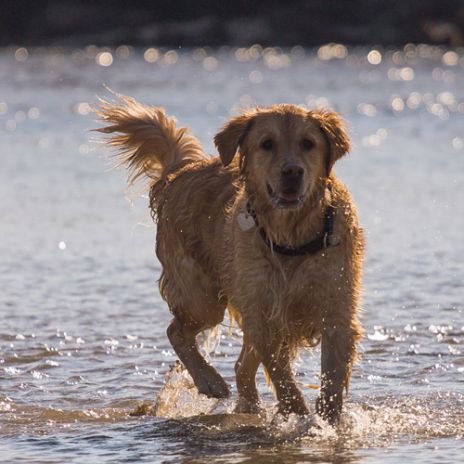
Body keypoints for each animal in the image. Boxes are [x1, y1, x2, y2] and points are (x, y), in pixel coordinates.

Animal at [96, 97, 364, 424]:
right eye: (267, 144)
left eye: (308, 143)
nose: (292, 171)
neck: (291, 238)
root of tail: (180, 172)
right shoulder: (263, 313)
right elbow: (282, 374)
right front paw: (298, 414)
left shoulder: (336, 309)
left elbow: (333, 378)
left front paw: (327, 420)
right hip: (203, 298)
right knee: (176, 331)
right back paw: (210, 381)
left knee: (239, 366)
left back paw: (249, 407)